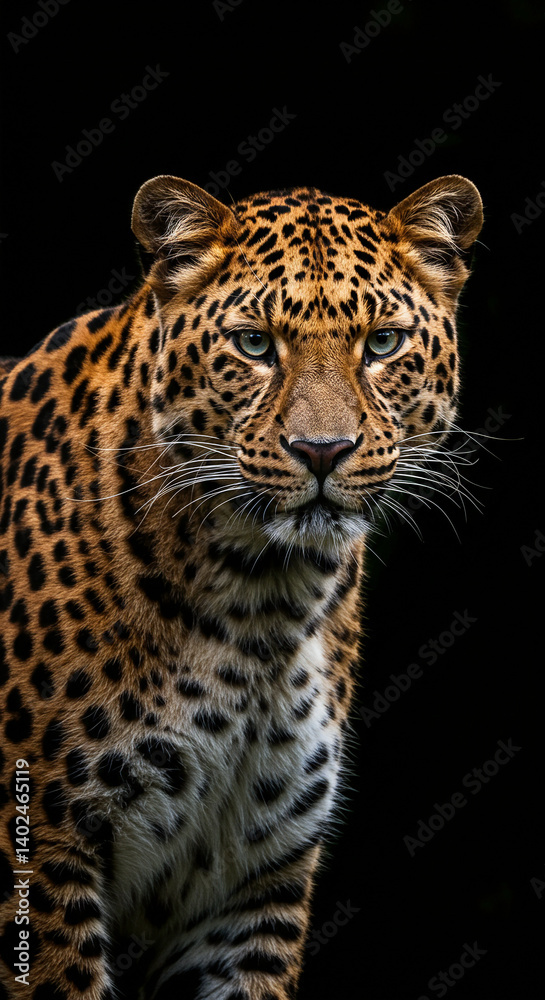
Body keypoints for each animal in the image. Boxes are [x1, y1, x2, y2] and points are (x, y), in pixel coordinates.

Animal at [0, 172, 483, 999]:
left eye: (381, 344)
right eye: (254, 344)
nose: (322, 450)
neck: (262, 602)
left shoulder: (252, 884)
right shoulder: (45, 850)